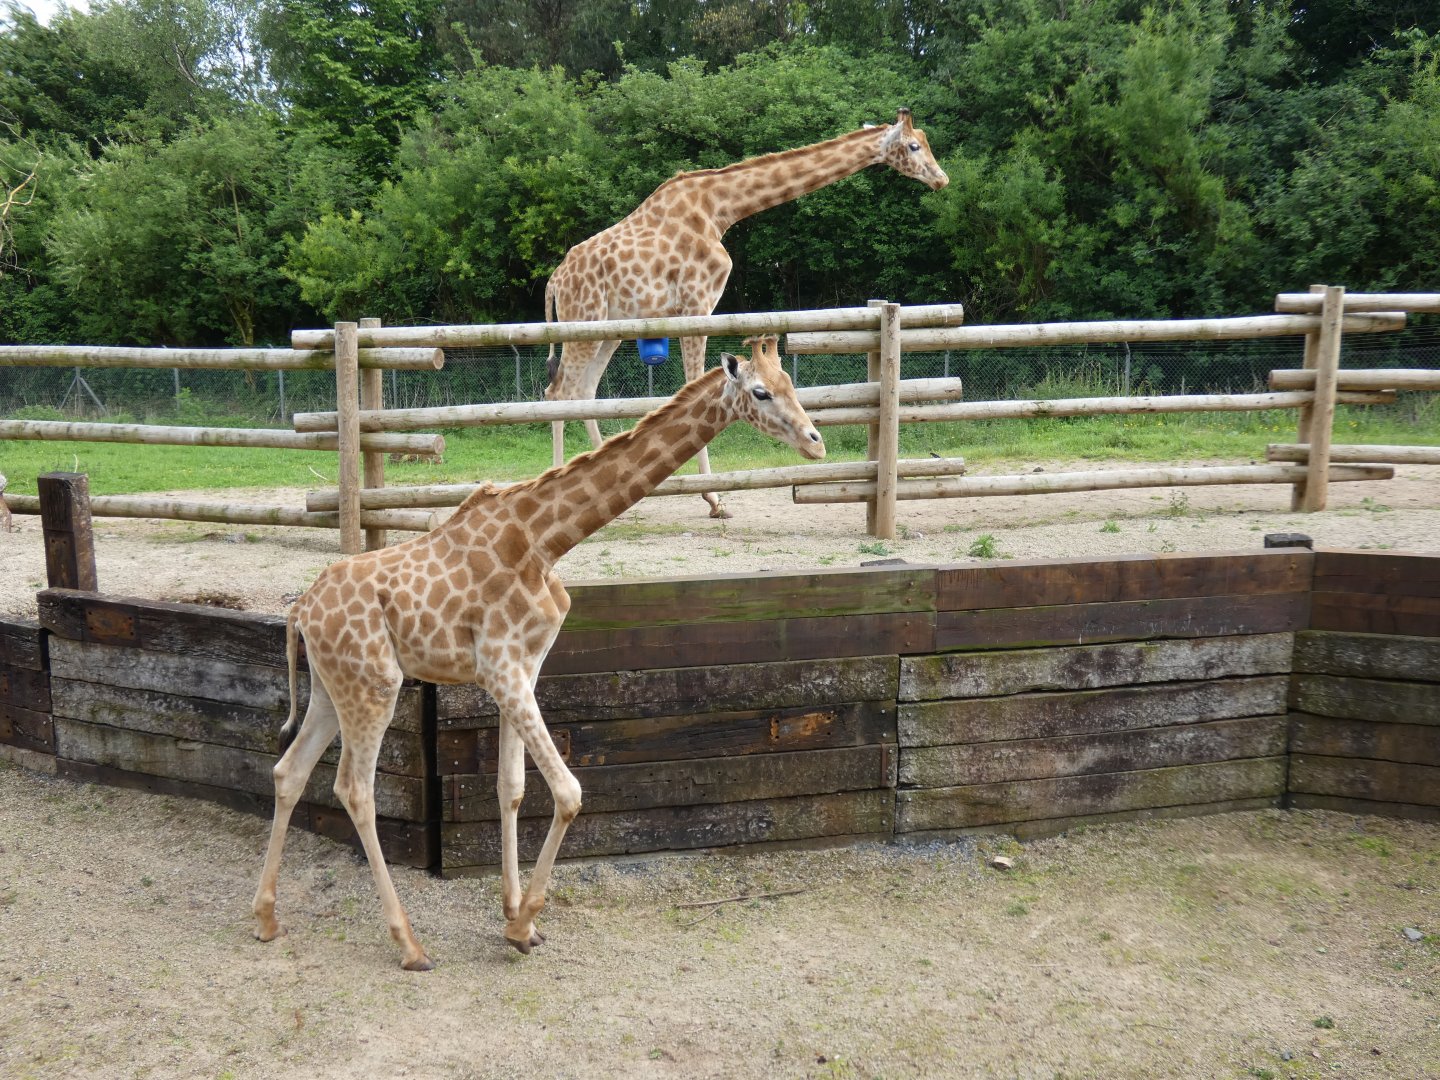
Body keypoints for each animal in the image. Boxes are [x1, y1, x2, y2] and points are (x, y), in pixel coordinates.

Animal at [252, 336, 823, 969]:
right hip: (375, 685)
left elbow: (512, 788)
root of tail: (301, 610)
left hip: (335, 689)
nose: (815, 441)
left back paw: (267, 919)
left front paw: (512, 913)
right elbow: (569, 792)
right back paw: (409, 944)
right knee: (354, 789)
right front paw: (523, 922)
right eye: (761, 391)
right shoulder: (502, 670)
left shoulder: (520, 669)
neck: (545, 540)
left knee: (288, 771)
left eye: (792, 383)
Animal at [544, 107, 948, 517]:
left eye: (925, 142)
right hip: (583, 318)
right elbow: (694, 384)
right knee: (557, 391)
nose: (941, 178)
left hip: (609, 327)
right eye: (914, 146)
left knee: (584, 390)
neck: (720, 209)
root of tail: (555, 282)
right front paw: (713, 498)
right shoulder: (697, 302)